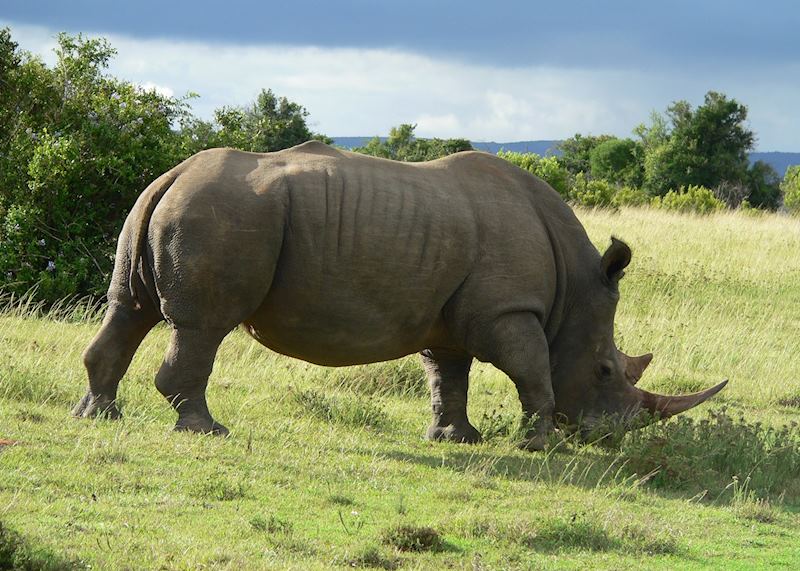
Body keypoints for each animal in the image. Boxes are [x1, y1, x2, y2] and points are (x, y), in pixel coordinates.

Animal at [72, 141, 726, 449]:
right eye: (606, 371)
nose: (605, 438)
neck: (574, 290)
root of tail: (173, 173)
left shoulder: (455, 314)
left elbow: (449, 374)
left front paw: (457, 440)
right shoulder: (509, 310)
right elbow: (533, 370)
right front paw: (539, 444)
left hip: (167, 206)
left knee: (130, 309)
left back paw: (98, 415)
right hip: (219, 214)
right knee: (202, 326)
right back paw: (207, 431)